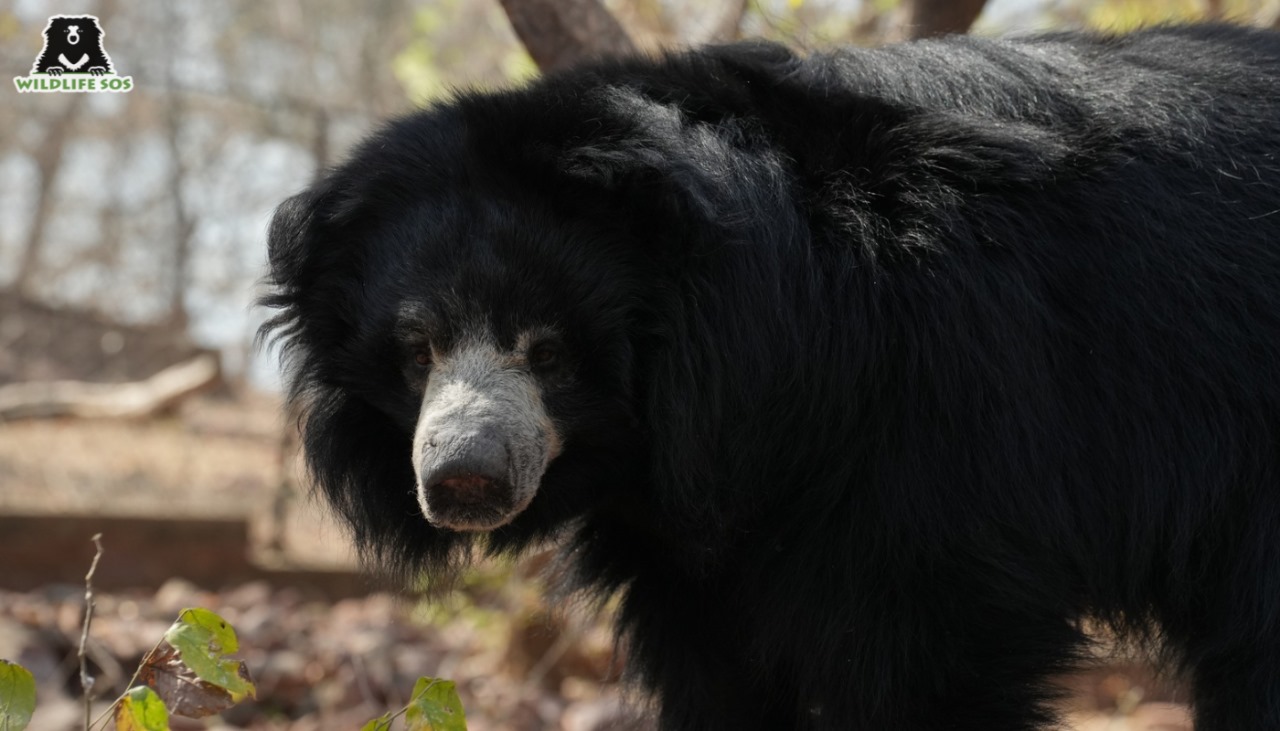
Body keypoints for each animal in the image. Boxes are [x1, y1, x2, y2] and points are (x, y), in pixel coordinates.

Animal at [264, 22, 1280, 731]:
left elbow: (931, 652)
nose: (464, 479)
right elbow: (719, 665)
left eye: (549, 350)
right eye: (417, 348)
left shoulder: (943, 433)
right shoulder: (692, 541)